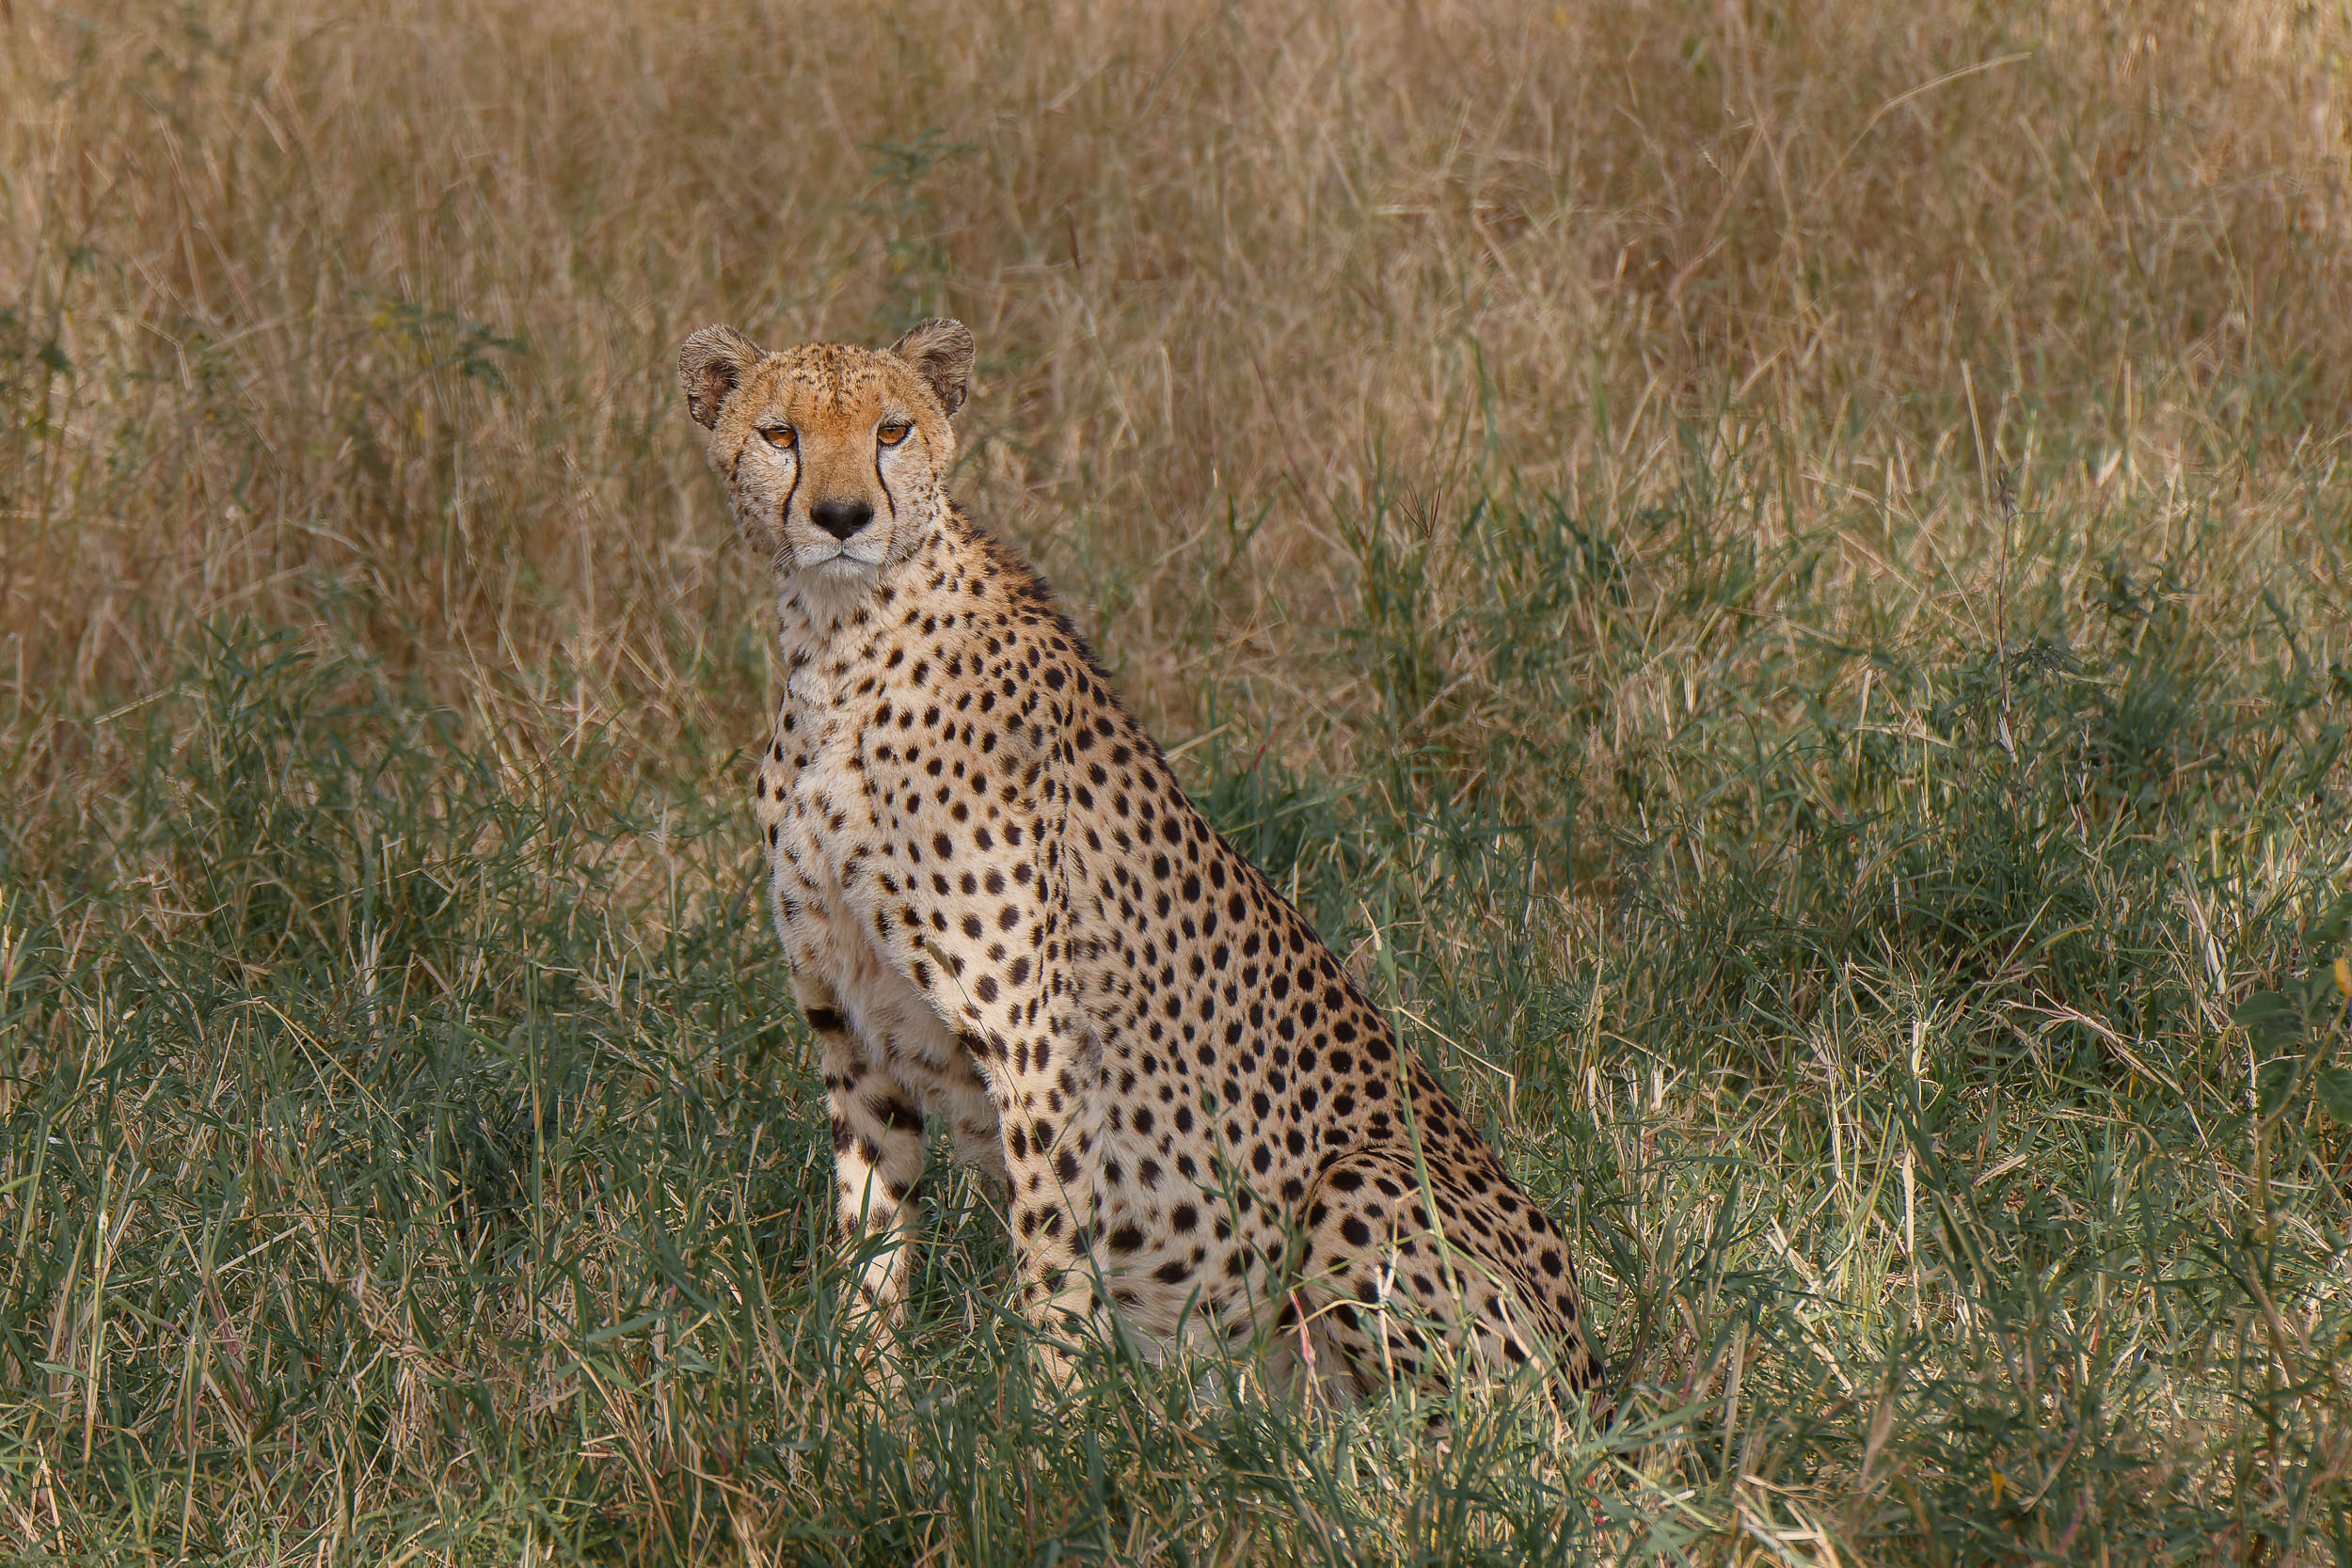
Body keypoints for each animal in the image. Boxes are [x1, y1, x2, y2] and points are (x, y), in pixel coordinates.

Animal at [678, 317, 1606, 1409]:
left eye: (891, 429)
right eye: (779, 433)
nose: (840, 515)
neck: (839, 639)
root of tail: (1593, 1362)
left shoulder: (1035, 1049)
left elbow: (1050, 1265)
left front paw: (1051, 1426)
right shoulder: (852, 1036)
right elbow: (868, 1247)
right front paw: (868, 1408)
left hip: (1364, 1183)